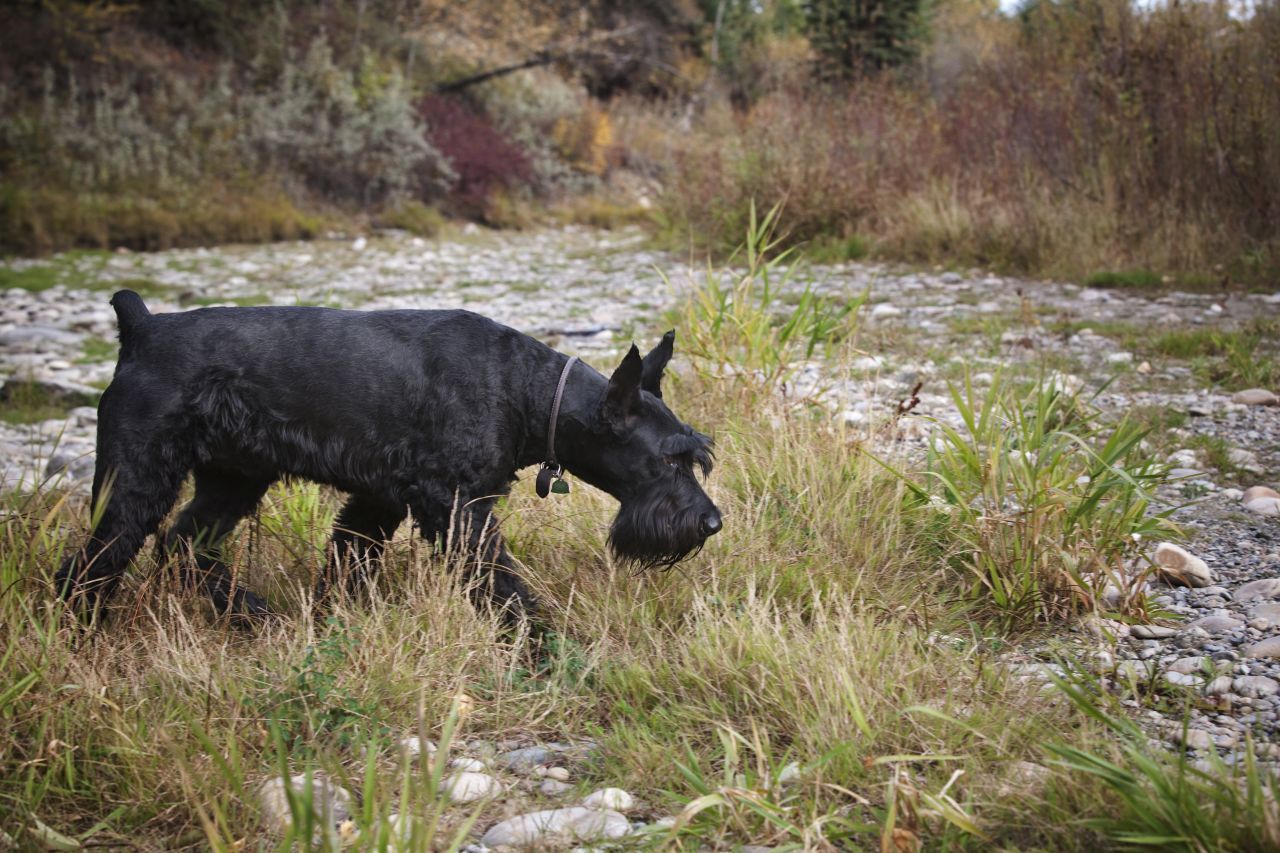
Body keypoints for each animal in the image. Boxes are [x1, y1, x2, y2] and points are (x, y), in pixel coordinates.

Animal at [55, 290, 721, 617]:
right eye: (668, 459)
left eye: (697, 457)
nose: (711, 522)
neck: (526, 389)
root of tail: (141, 328)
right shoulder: (453, 506)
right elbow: (500, 582)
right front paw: (542, 648)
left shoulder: (379, 500)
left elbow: (349, 561)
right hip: (135, 479)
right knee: (95, 562)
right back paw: (81, 630)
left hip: (233, 477)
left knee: (185, 542)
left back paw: (247, 612)